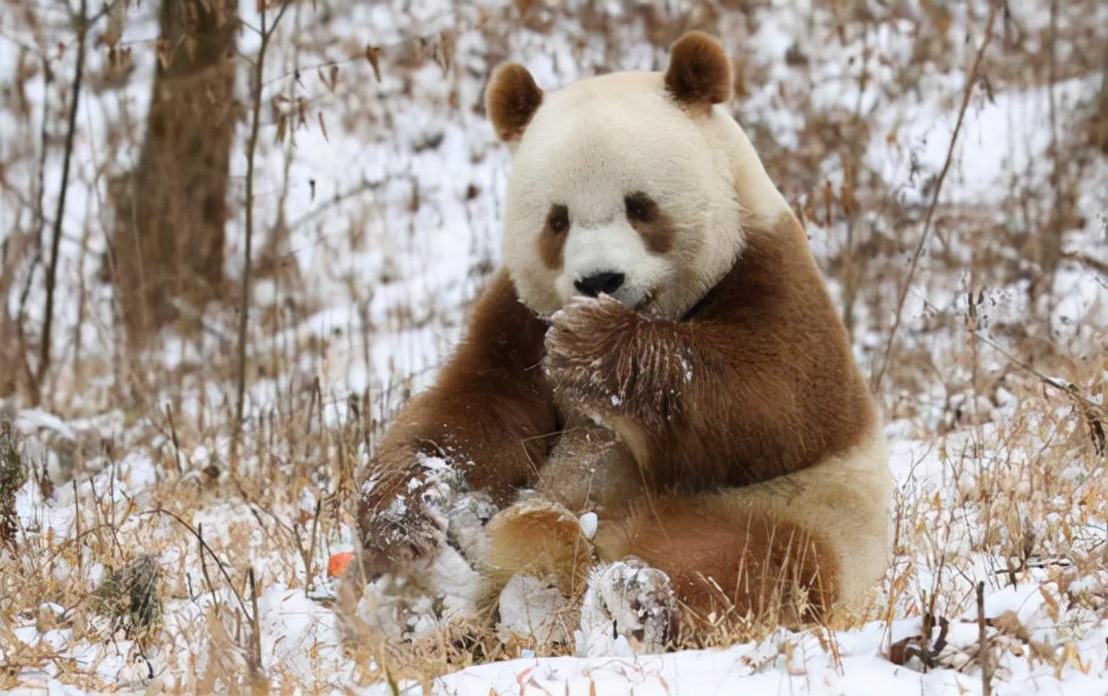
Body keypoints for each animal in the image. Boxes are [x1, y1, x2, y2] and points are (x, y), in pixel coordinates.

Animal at [354, 29, 890, 651]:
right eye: (557, 220)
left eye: (640, 206)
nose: (599, 281)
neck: (659, 312)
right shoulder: (517, 316)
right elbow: (475, 413)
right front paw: (407, 513)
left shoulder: (771, 269)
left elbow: (777, 401)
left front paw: (591, 347)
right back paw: (445, 620)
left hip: (793, 514)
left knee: (750, 566)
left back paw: (629, 601)